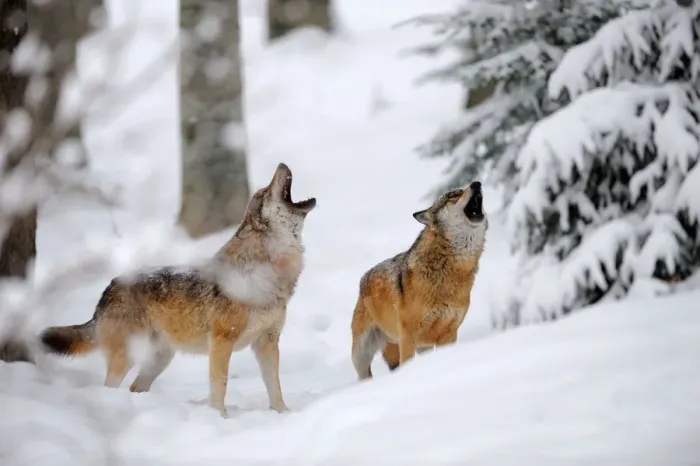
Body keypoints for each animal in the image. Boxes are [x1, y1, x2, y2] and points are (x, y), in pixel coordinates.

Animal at [40, 163, 316, 414]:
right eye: (266, 192)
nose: (282, 163)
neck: (270, 272)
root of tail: (108, 289)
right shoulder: (221, 342)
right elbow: (220, 384)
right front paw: (218, 417)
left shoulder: (267, 342)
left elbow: (275, 386)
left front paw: (283, 414)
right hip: (127, 358)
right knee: (110, 387)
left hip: (159, 361)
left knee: (134, 387)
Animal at [350, 181, 487, 379]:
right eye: (453, 196)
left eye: (461, 190)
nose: (477, 183)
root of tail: (363, 279)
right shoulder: (408, 335)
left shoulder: (449, 333)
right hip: (360, 353)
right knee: (364, 374)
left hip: (422, 346)